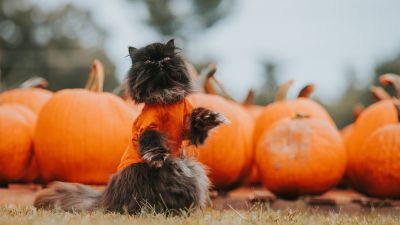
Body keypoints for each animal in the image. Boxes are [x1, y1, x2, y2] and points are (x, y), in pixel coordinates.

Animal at [33, 39, 228, 215]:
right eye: (148, 61)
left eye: (166, 58)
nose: (158, 62)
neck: (165, 97)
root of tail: (105, 199)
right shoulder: (148, 128)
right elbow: (153, 144)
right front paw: (158, 159)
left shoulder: (189, 130)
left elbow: (198, 122)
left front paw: (211, 117)